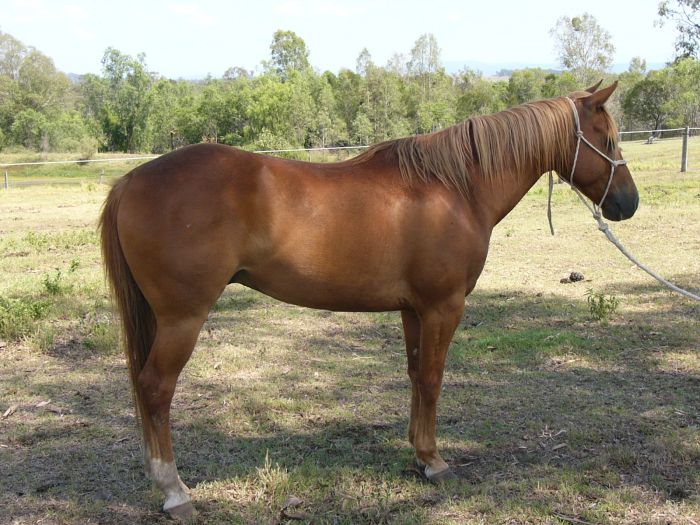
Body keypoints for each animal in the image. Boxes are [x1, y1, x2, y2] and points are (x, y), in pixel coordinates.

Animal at [100, 82, 638, 518]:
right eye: (608, 140)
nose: (627, 203)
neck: (456, 187)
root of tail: (132, 179)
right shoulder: (443, 307)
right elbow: (434, 378)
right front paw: (435, 462)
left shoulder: (414, 310)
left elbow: (417, 375)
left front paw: (419, 454)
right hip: (182, 319)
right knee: (155, 389)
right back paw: (174, 491)